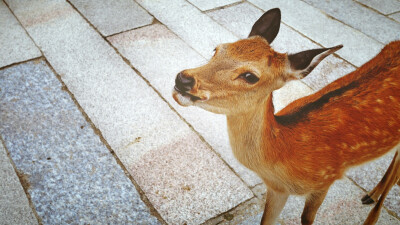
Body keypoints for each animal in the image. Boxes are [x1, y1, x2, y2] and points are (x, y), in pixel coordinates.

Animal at [172, 7, 400, 225]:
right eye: (217, 49)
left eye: (250, 76)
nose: (183, 79)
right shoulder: (277, 190)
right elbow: (266, 220)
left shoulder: (326, 179)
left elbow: (306, 219)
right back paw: (371, 194)